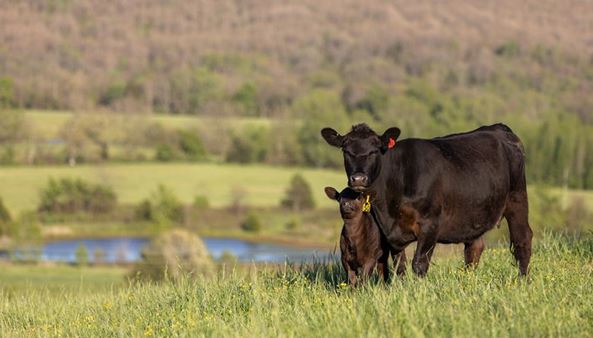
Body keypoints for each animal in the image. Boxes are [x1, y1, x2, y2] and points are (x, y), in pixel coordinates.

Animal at [322, 123, 536, 276]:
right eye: (346, 151)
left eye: (375, 150)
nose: (358, 179)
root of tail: (499, 129)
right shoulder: (391, 233)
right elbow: (400, 267)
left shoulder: (430, 224)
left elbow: (419, 264)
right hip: (475, 212)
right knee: (474, 249)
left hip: (517, 198)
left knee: (522, 240)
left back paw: (522, 282)